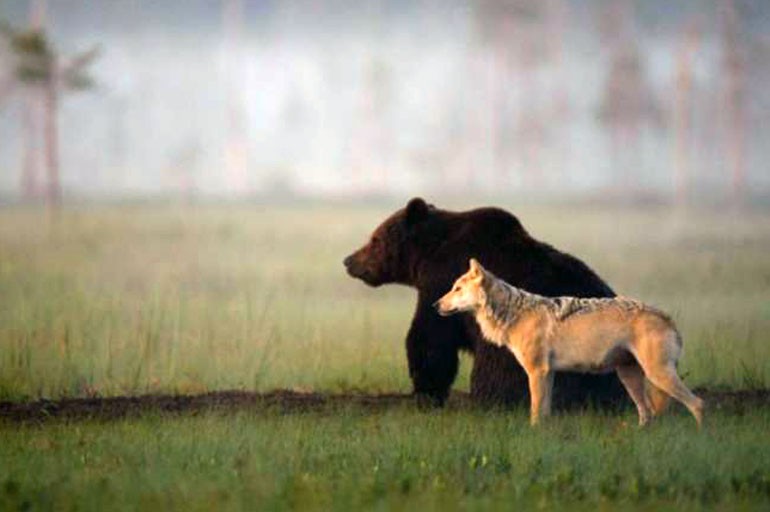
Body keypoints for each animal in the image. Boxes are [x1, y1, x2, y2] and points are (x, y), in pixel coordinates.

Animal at [435, 258, 704, 427]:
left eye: (457, 289)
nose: (435, 305)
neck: (513, 313)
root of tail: (666, 317)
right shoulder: (548, 373)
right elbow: (544, 411)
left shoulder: (537, 372)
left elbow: (535, 411)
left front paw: (533, 433)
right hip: (630, 377)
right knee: (647, 414)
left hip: (657, 375)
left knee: (697, 404)